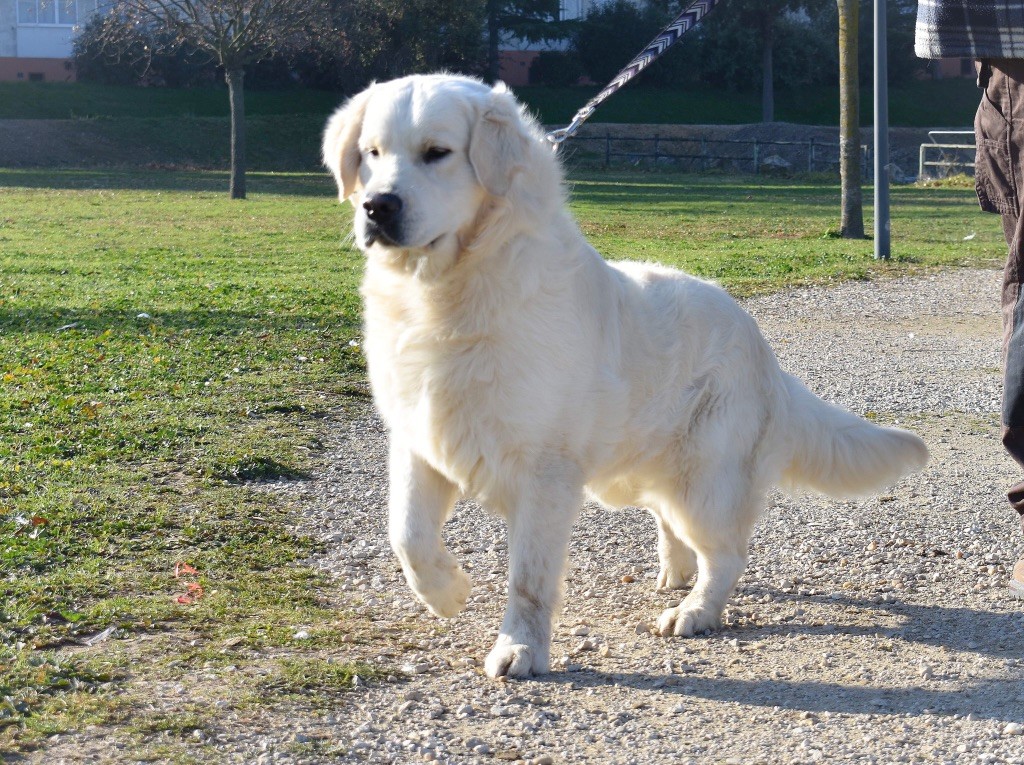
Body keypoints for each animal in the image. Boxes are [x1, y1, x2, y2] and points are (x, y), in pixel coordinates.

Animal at [323, 74, 933, 680]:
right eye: (372, 154)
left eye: (437, 153)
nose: (377, 207)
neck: (447, 292)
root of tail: (763, 350)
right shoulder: (420, 437)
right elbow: (408, 535)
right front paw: (447, 593)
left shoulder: (543, 471)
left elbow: (529, 578)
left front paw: (521, 647)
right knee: (676, 528)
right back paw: (676, 574)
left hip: (704, 482)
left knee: (728, 554)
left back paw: (694, 611)